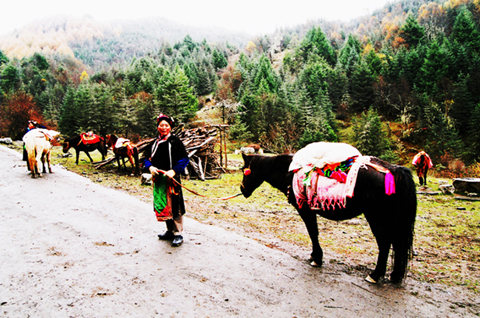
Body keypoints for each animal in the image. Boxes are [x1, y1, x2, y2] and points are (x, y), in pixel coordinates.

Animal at [240, 153, 416, 284]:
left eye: (244, 171)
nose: (242, 190)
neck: (289, 172)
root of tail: (394, 170)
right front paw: (314, 255)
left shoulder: (306, 210)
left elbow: (313, 232)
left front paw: (317, 258)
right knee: (397, 244)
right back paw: (395, 275)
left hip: (376, 218)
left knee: (385, 244)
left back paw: (375, 275)